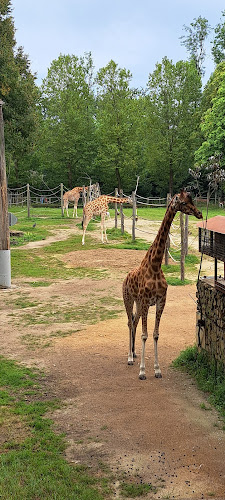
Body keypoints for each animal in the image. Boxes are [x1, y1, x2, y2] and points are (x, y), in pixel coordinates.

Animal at [122, 189, 203, 380]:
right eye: (183, 202)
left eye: (192, 200)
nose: (199, 213)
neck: (155, 265)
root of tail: (125, 277)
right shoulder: (146, 302)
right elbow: (145, 335)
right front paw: (142, 371)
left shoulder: (160, 302)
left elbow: (155, 334)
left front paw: (157, 370)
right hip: (128, 300)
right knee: (129, 322)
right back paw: (129, 357)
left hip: (138, 303)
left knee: (134, 321)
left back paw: (134, 353)